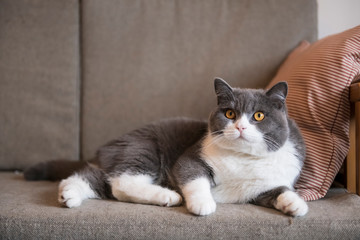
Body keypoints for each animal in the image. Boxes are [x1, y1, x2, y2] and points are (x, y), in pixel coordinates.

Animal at [23, 79, 308, 218]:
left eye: (259, 116)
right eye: (229, 113)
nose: (240, 127)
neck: (243, 159)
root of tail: (105, 149)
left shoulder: (265, 185)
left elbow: (280, 191)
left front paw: (296, 205)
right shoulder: (191, 156)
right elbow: (194, 177)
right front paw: (203, 204)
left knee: (95, 180)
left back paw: (69, 195)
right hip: (143, 148)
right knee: (121, 182)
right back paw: (167, 196)